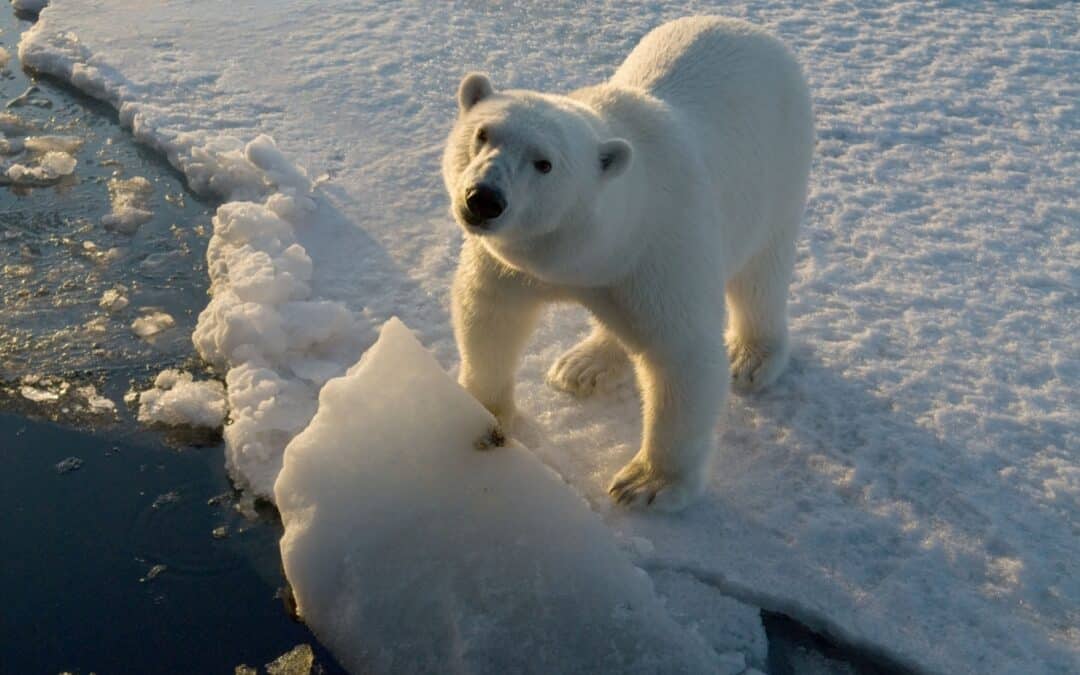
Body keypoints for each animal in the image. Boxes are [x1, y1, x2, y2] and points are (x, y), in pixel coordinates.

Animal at [440, 15, 812, 509]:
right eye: (482, 134)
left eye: (544, 163)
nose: (483, 198)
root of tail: (750, 29)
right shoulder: (515, 264)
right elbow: (489, 314)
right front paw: (480, 408)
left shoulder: (660, 252)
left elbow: (683, 356)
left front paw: (647, 483)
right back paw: (584, 365)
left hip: (779, 170)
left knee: (760, 274)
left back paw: (752, 356)